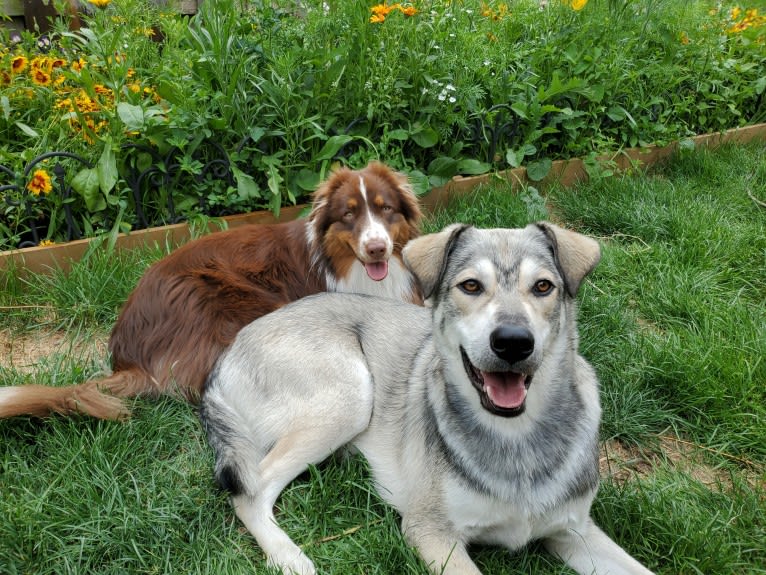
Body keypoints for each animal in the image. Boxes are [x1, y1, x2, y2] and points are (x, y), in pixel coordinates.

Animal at [200, 223, 656, 572]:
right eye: (471, 285)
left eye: (543, 286)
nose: (513, 342)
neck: (517, 439)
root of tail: (225, 357)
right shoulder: (432, 533)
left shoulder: (575, 531)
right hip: (350, 397)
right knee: (250, 494)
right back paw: (290, 557)